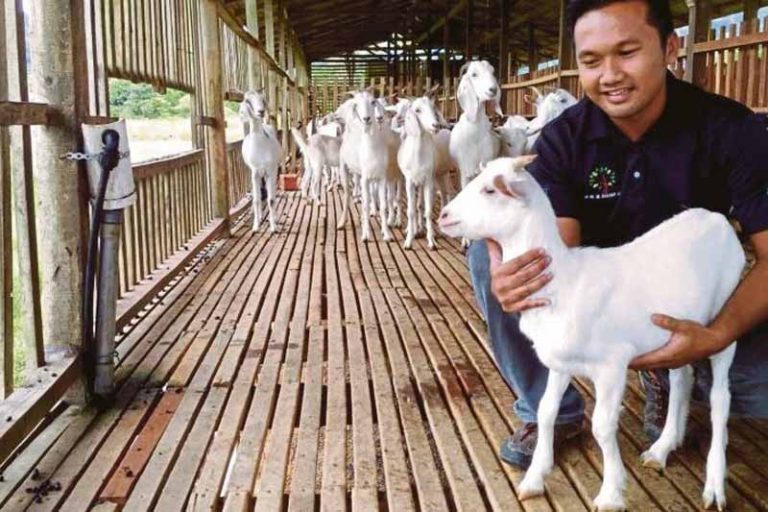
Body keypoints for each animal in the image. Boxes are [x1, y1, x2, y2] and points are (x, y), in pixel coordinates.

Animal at [240, 90, 282, 232]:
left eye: (262, 99)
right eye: (248, 101)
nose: (261, 111)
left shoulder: (271, 170)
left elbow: (271, 200)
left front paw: (274, 227)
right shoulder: (255, 172)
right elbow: (256, 200)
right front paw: (256, 226)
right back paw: (259, 217)